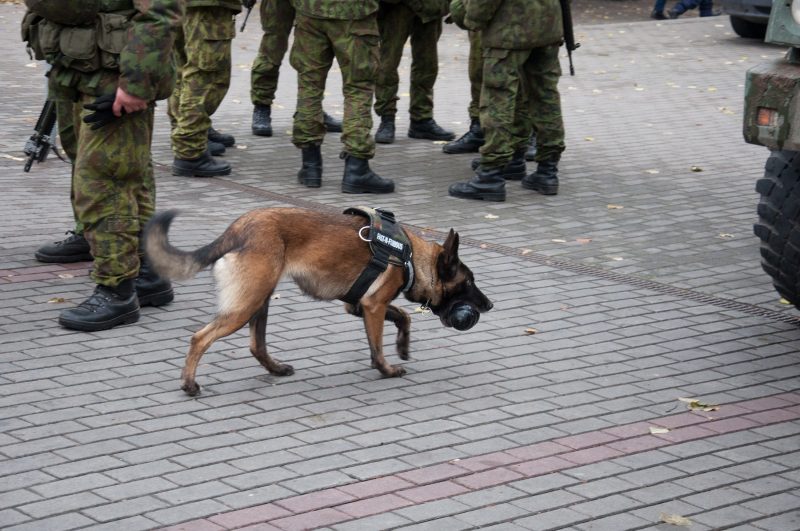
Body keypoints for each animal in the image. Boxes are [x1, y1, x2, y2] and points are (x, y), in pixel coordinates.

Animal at [144, 207, 493, 396]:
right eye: (469, 282)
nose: (489, 305)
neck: (408, 258)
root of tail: (238, 228)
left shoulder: (358, 305)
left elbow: (403, 316)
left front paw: (403, 346)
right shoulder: (373, 306)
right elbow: (377, 345)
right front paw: (386, 369)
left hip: (260, 299)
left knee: (256, 345)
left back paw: (276, 368)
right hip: (245, 305)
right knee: (200, 338)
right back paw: (190, 384)